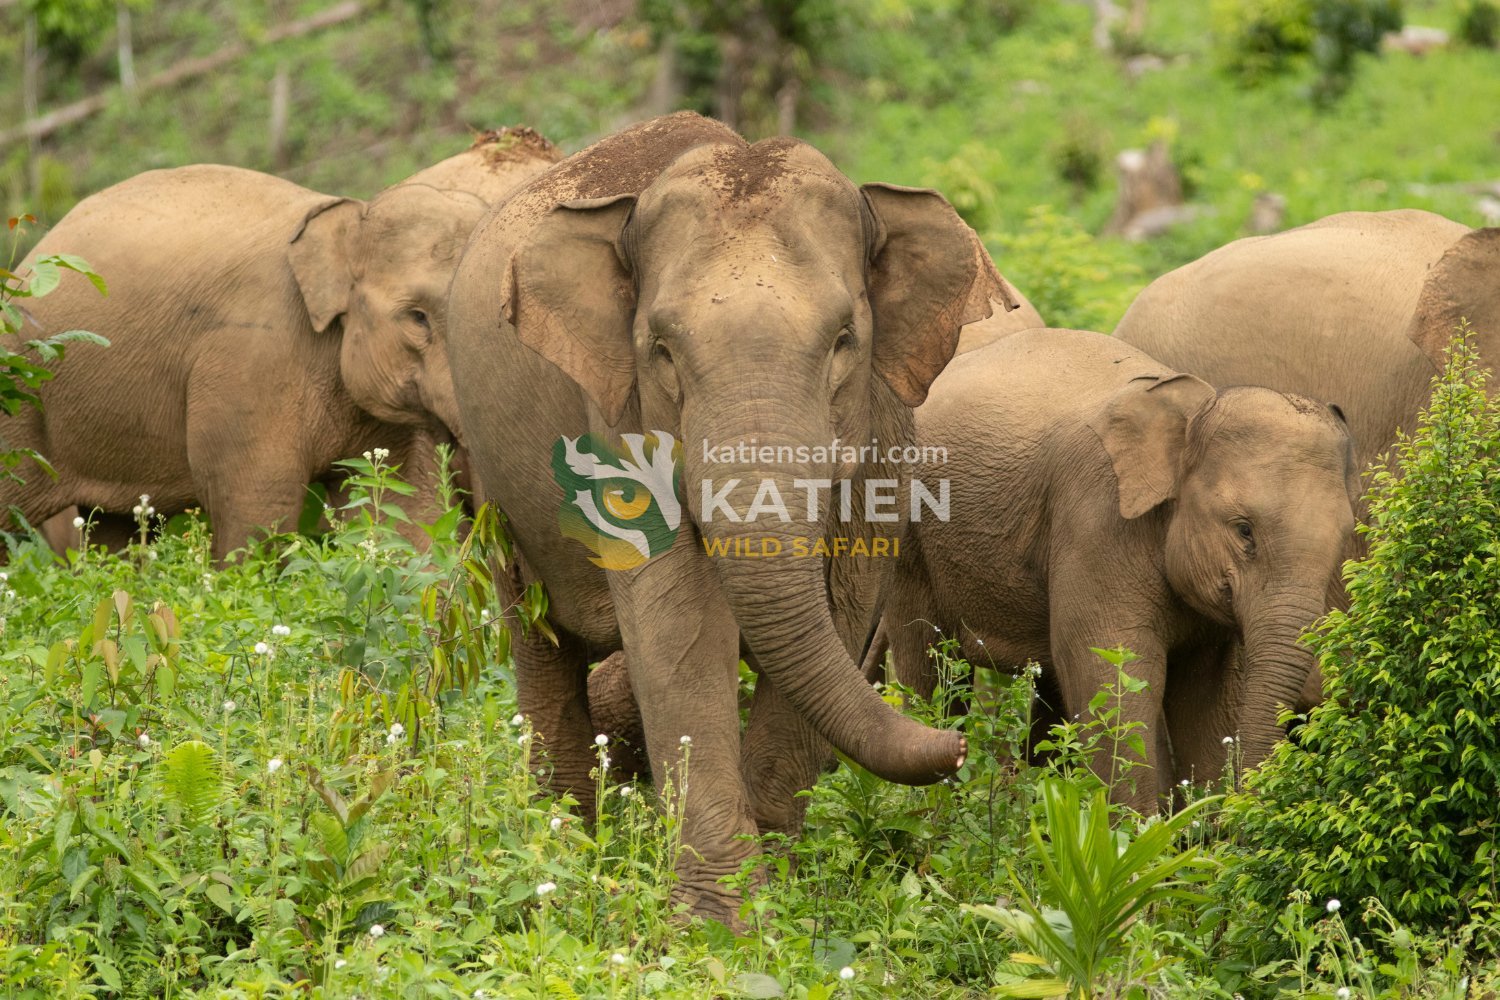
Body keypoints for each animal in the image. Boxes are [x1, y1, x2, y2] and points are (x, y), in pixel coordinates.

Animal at [8, 128, 559, 562]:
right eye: (417, 318)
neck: (352, 216)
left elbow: (401, 510)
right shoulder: (250, 360)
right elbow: (258, 511)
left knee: (115, 526)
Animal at [446, 111, 1020, 923]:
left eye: (844, 340)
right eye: (661, 349)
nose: (958, 747)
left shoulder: (884, 429)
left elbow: (843, 604)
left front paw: (778, 892)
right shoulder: (618, 418)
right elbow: (679, 622)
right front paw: (721, 925)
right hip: (487, 476)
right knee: (539, 639)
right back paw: (568, 852)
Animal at [871, 328, 1358, 811]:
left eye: (1344, 538)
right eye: (1244, 531)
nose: (1244, 801)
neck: (1195, 409)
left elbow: (1207, 695)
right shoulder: (1097, 521)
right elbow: (1110, 672)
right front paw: (1138, 830)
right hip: (909, 536)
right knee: (932, 667)